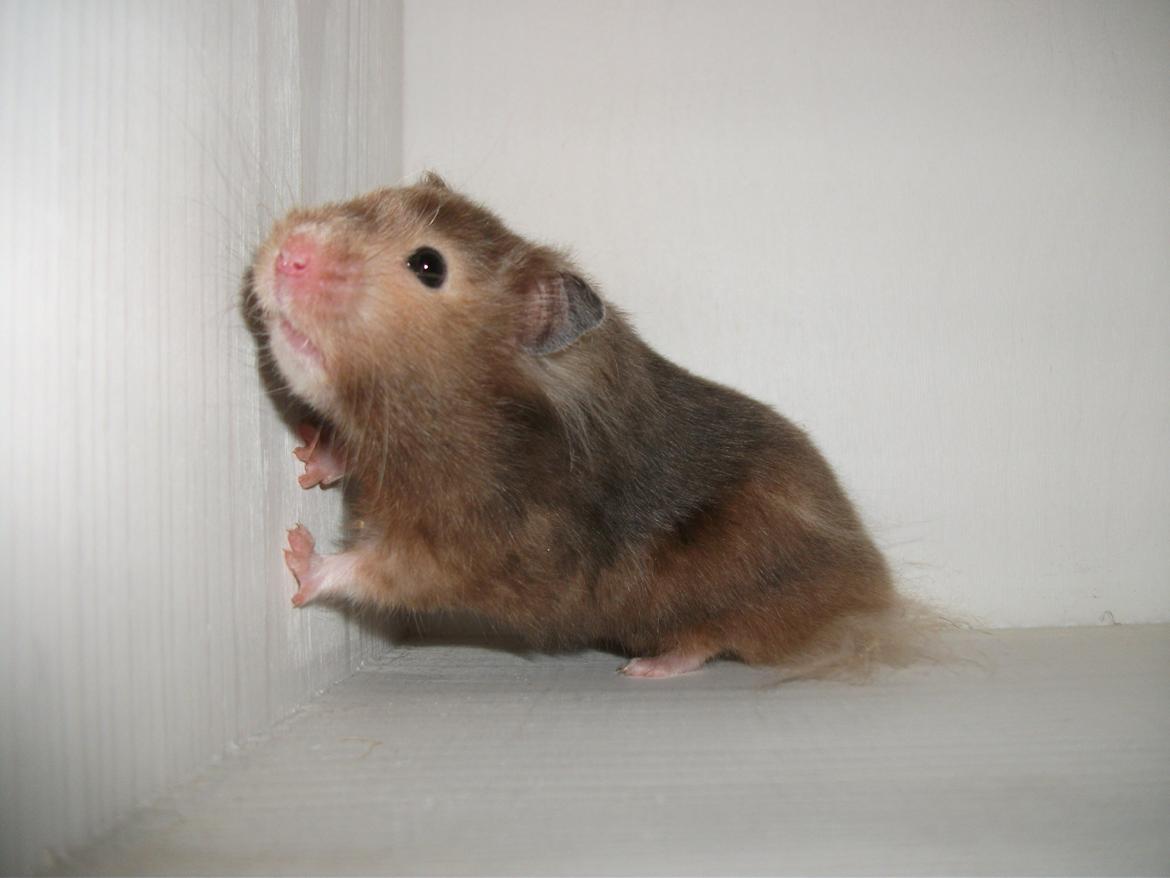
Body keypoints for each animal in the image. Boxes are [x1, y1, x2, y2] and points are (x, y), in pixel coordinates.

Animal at [246, 173, 934, 679]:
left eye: (427, 266)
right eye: (372, 198)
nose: (287, 254)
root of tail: (873, 592)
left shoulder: (475, 549)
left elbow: (374, 571)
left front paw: (298, 556)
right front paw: (310, 455)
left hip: (737, 590)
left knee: (712, 637)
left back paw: (647, 668)